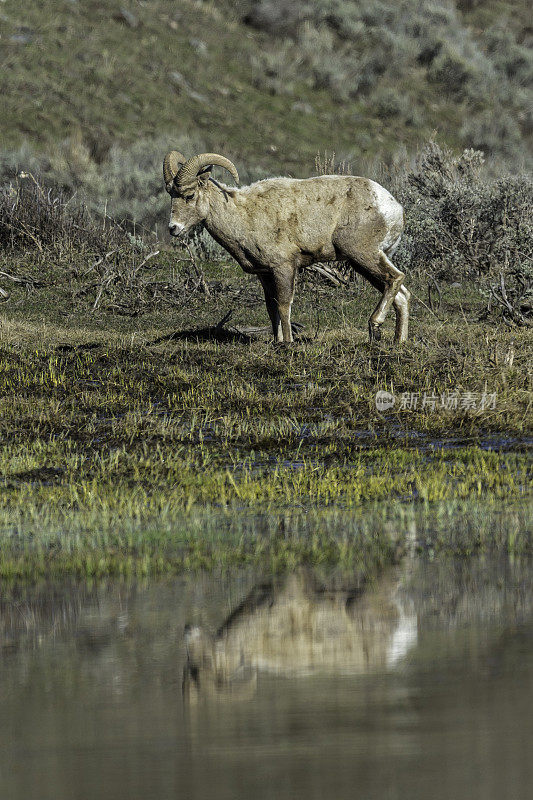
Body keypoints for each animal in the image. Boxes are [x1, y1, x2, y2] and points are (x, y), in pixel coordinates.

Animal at [164, 152, 410, 342]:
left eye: (189, 195)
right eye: (171, 195)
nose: (173, 228)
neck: (244, 215)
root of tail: (393, 207)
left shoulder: (284, 267)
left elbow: (284, 305)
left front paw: (288, 342)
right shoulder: (265, 274)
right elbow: (271, 307)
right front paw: (277, 340)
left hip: (363, 254)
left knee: (395, 278)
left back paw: (375, 325)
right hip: (362, 263)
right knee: (401, 296)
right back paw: (398, 341)